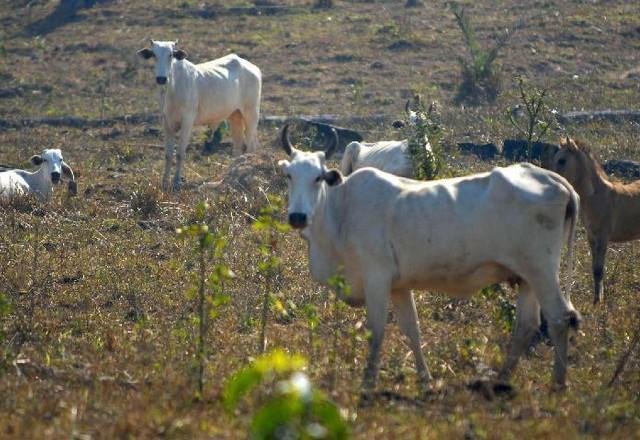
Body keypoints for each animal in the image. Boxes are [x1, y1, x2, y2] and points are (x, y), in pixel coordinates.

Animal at [138, 38, 262, 188]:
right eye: (154, 55)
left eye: (171, 55)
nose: (161, 79)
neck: (172, 88)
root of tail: (252, 67)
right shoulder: (166, 122)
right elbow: (168, 154)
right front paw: (164, 181)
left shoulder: (187, 121)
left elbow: (180, 153)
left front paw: (176, 181)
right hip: (235, 115)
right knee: (238, 146)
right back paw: (231, 175)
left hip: (251, 113)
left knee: (251, 145)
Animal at [280, 124, 580, 392]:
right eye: (289, 176)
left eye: (318, 177)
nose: (298, 217)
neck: (341, 211)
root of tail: (557, 181)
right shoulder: (399, 287)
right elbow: (412, 330)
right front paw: (425, 380)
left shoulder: (376, 278)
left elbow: (376, 331)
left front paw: (368, 382)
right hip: (527, 277)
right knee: (526, 325)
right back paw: (501, 379)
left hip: (541, 270)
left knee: (559, 317)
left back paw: (558, 382)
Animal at [552, 138, 640, 302]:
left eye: (562, 160)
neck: (597, 196)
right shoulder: (591, 237)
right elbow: (594, 269)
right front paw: (596, 299)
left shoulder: (603, 237)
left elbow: (599, 270)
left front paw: (598, 302)